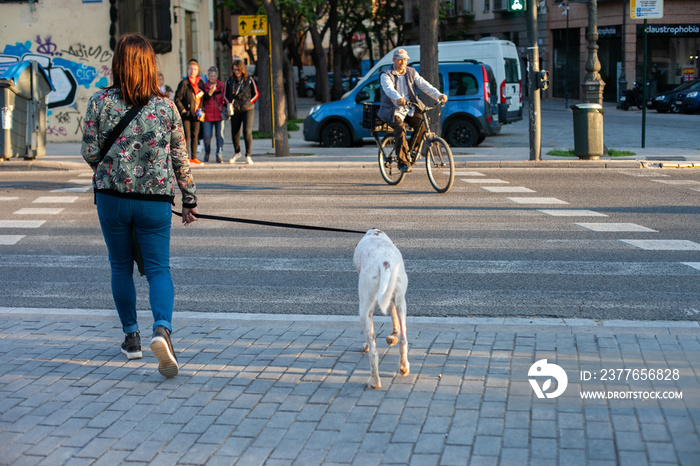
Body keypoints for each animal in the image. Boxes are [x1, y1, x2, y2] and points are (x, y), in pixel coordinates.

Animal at [352, 229, 408, 390]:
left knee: (373, 351)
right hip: (401, 302)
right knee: (403, 339)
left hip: (364, 310)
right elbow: (393, 317)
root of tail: (385, 262)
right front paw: (393, 336)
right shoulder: (392, 299)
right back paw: (404, 367)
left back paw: (374, 381)